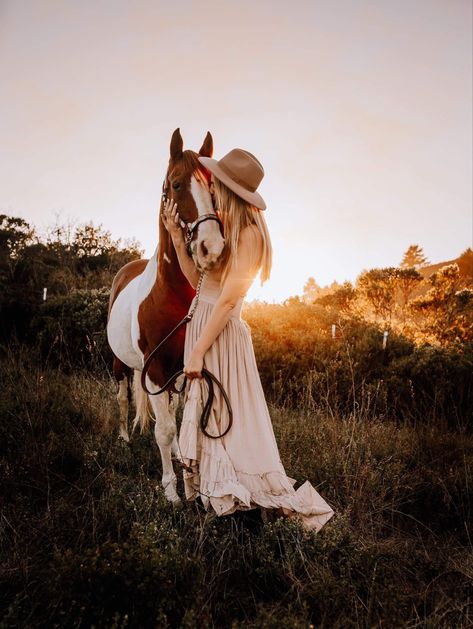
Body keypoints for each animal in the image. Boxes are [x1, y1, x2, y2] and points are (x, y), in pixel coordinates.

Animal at [107, 127, 225, 506]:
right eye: (176, 184)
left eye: (214, 187)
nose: (212, 248)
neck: (173, 293)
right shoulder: (155, 369)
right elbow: (163, 428)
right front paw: (171, 491)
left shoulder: (186, 368)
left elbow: (179, 421)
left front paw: (188, 477)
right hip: (121, 365)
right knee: (123, 397)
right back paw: (123, 438)